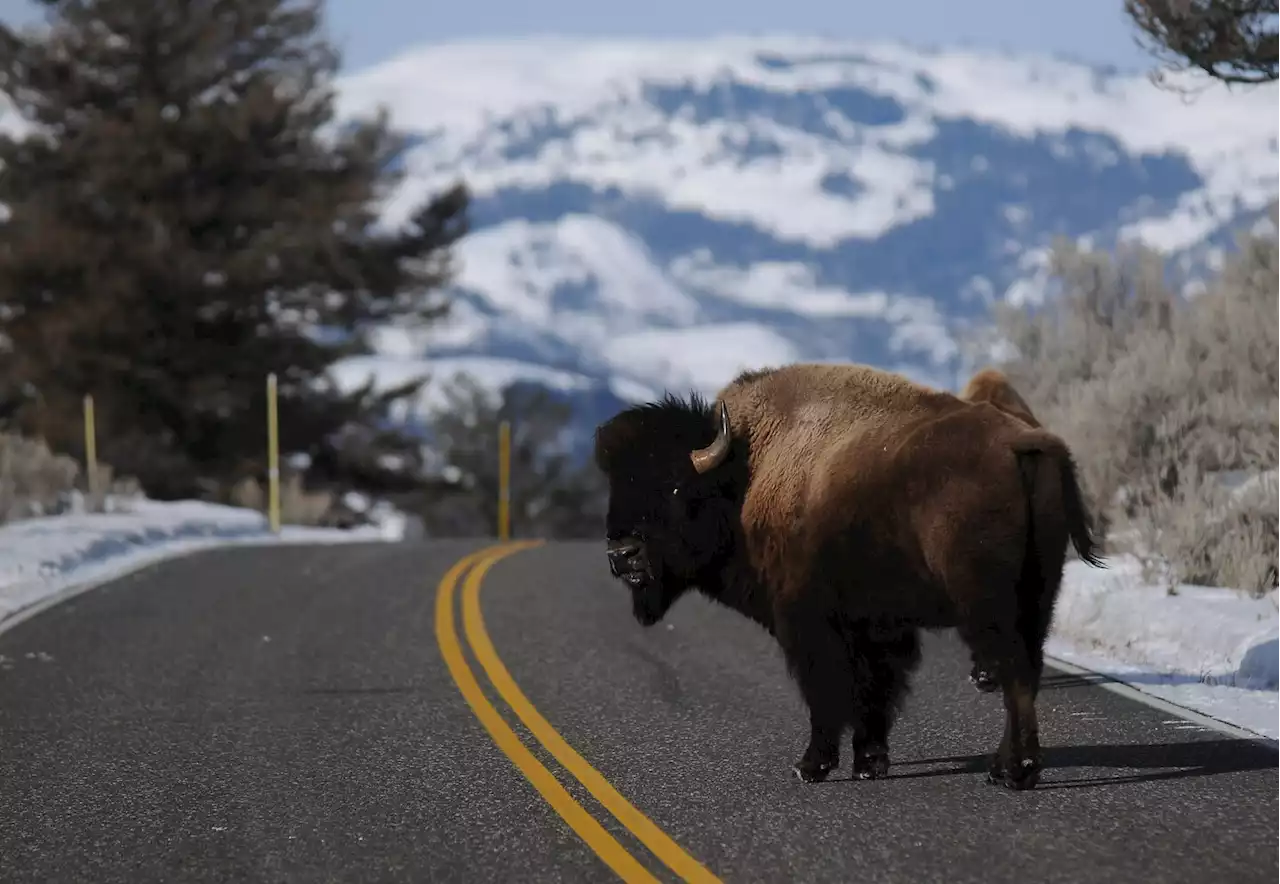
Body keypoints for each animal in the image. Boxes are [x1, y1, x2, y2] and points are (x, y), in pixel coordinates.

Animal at [593, 363, 1105, 793]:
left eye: (675, 487)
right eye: (615, 487)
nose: (622, 554)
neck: (746, 474)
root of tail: (1022, 443)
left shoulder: (807, 624)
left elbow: (828, 693)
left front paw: (811, 766)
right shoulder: (875, 628)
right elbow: (872, 692)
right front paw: (869, 763)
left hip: (987, 605)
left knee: (1014, 673)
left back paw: (1015, 774)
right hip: (1038, 596)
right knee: (1028, 671)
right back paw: (1006, 768)